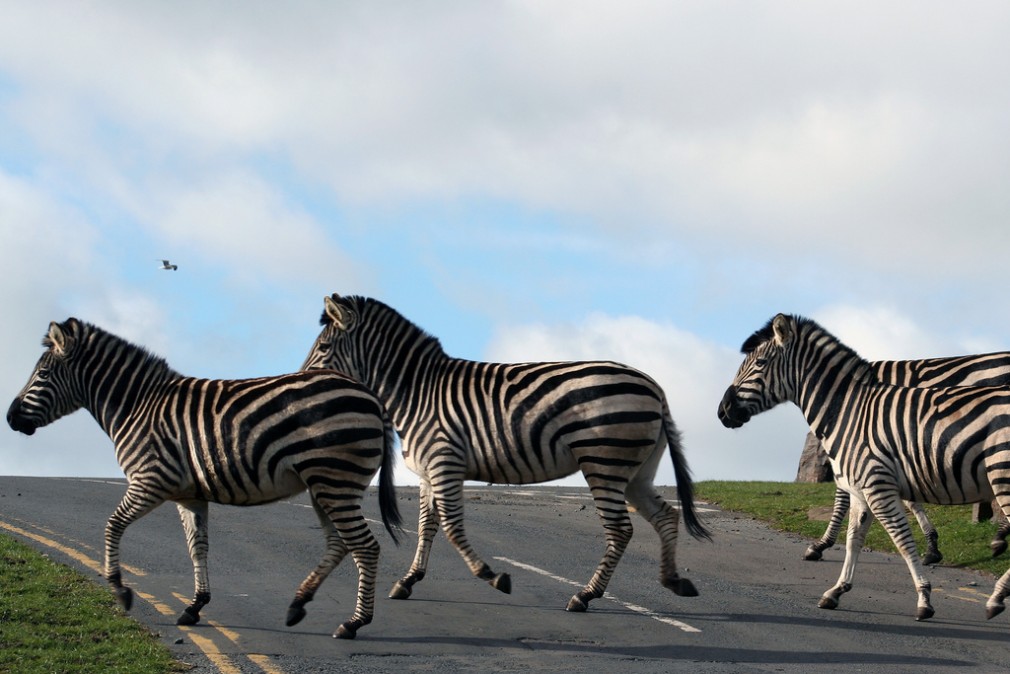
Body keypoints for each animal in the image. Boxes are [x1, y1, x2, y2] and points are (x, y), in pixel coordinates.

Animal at [8, 319, 401, 642]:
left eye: (42, 374)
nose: (10, 418)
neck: (137, 407)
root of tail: (369, 394)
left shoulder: (150, 480)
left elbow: (112, 525)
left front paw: (120, 590)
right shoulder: (189, 494)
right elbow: (198, 546)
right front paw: (195, 605)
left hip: (334, 480)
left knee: (365, 547)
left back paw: (353, 623)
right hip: (323, 485)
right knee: (339, 544)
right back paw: (298, 604)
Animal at [298, 293, 711, 614]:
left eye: (323, 348)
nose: (301, 381)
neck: (416, 393)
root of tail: (654, 386)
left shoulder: (445, 461)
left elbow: (451, 527)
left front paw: (494, 576)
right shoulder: (430, 471)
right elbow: (427, 526)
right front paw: (408, 580)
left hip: (604, 461)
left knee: (621, 529)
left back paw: (584, 596)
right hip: (636, 469)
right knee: (665, 515)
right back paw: (674, 580)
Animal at [808, 353, 1010, 565]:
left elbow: (842, 499)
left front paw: (820, 545)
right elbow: (910, 501)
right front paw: (932, 546)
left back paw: (999, 537)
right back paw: (1000, 536)